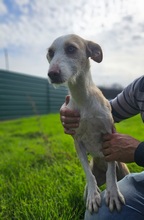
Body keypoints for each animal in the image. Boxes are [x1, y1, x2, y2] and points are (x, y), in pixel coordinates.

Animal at [46, 34, 129, 213]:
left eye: (71, 49)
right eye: (50, 53)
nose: (52, 74)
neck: (83, 98)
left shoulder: (109, 136)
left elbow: (111, 172)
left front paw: (112, 193)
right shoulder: (78, 142)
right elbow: (87, 173)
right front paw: (93, 194)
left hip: (124, 169)